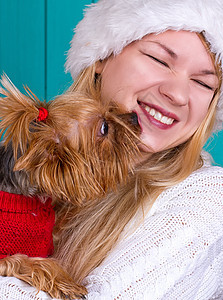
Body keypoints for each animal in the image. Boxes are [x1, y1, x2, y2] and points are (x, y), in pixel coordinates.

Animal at [0, 74, 140, 298]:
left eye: (110, 109)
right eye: (104, 128)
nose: (135, 117)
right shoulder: (6, 257)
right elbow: (26, 261)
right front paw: (66, 284)